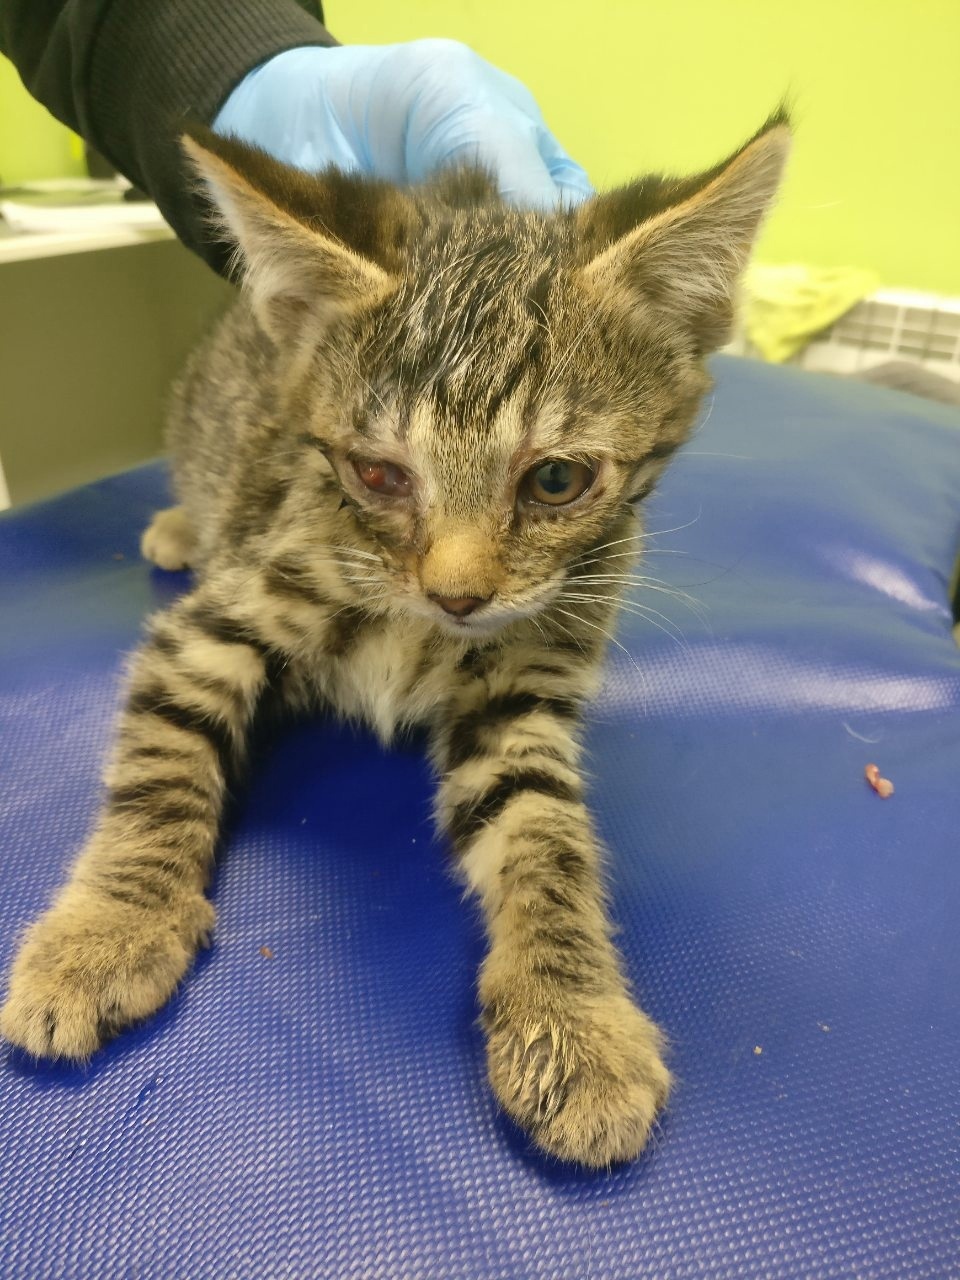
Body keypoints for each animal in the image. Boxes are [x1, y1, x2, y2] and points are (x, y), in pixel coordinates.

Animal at [0, 113, 788, 1167]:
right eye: (378, 475)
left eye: (555, 482)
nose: (457, 595)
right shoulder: (213, 623)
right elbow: (160, 770)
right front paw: (107, 930)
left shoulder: (518, 692)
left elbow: (545, 836)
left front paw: (571, 1016)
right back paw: (175, 526)